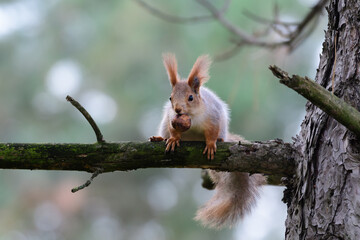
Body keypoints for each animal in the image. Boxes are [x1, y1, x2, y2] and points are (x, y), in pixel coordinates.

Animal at [148, 53, 264, 230]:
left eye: (190, 97)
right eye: (170, 97)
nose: (177, 110)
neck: (192, 118)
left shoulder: (213, 118)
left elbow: (211, 133)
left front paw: (210, 144)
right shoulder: (171, 119)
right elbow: (174, 130)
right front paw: (173, 139)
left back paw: (220, 139)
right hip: (163, 125)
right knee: (164, 132)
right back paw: (160, 138)